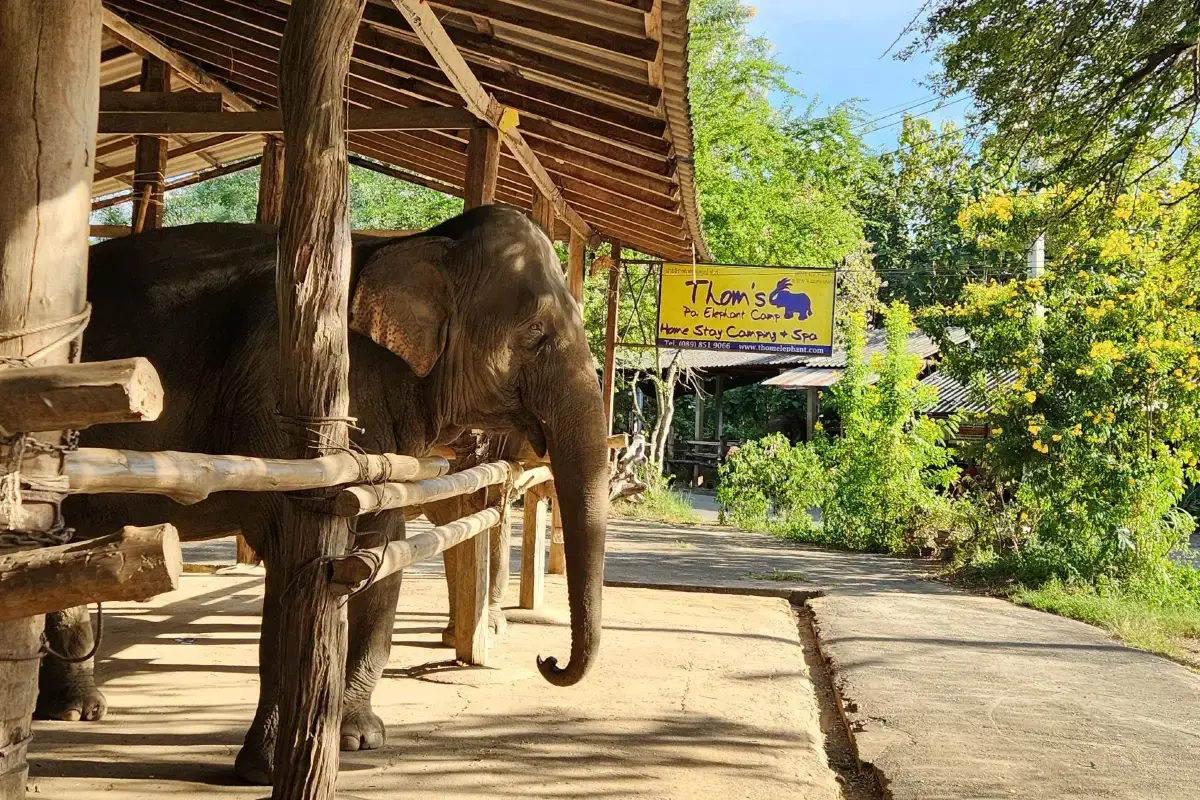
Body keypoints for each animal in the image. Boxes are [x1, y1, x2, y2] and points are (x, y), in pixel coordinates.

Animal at [39, 205, 610, 784]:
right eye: (536, 331)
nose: (548, 661)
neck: (407, 246)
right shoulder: (279, 409)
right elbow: (293, 552)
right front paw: (268, 768)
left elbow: (383, 547)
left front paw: (357, 738)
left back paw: (76, 710)